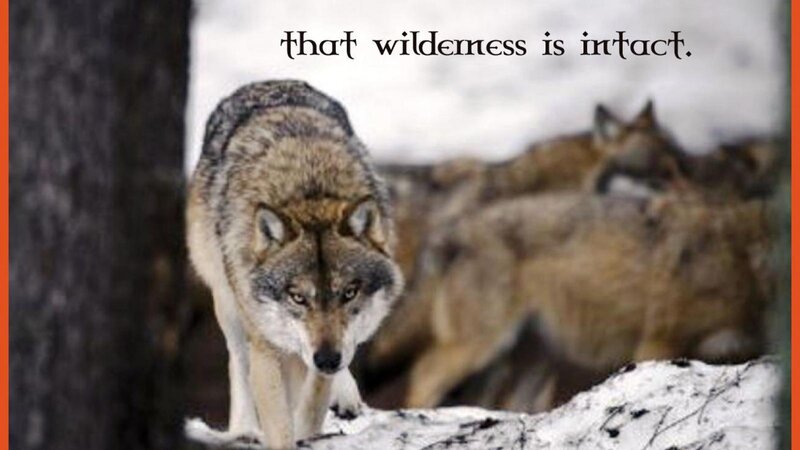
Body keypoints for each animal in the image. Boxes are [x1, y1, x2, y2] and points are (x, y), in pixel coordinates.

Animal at [186, 80, 403, 448]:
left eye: (349, 293)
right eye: (298, 297)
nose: (327, 358)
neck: (308, 188)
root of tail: (267, 83)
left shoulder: (326, 352)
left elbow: (313, 402)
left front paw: (311, 422)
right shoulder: (266, 346)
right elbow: (279, 422)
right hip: (227, 302)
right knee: (237, 360)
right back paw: (244, 428)